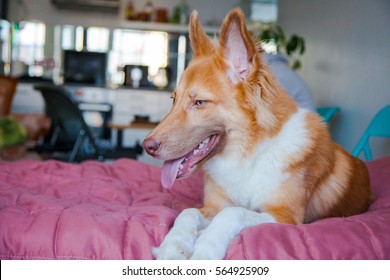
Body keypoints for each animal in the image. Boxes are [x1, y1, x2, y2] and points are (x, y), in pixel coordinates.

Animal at [142, 7, 374, 260]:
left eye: (199, 102)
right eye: (173, 99)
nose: (147, 147)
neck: (248, 153)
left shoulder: (285, 216)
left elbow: (234, 213)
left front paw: (205, 248)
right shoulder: (213, 206)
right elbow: (188, 212)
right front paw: (173, 246)